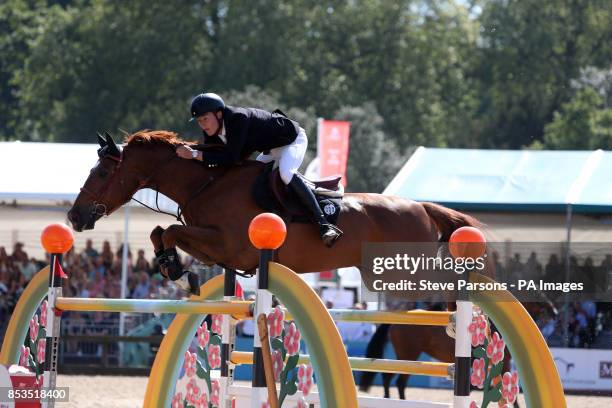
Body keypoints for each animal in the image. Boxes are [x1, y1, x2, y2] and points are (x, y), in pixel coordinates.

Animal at [64, 130, 480, 278]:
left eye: (103, 172)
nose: (73, 215)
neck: (206, 183)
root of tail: (422, 207)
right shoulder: (217, 249)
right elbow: (161, 230)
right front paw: (170, 264)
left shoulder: (230, 245)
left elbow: (171, 229)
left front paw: (172, 265)